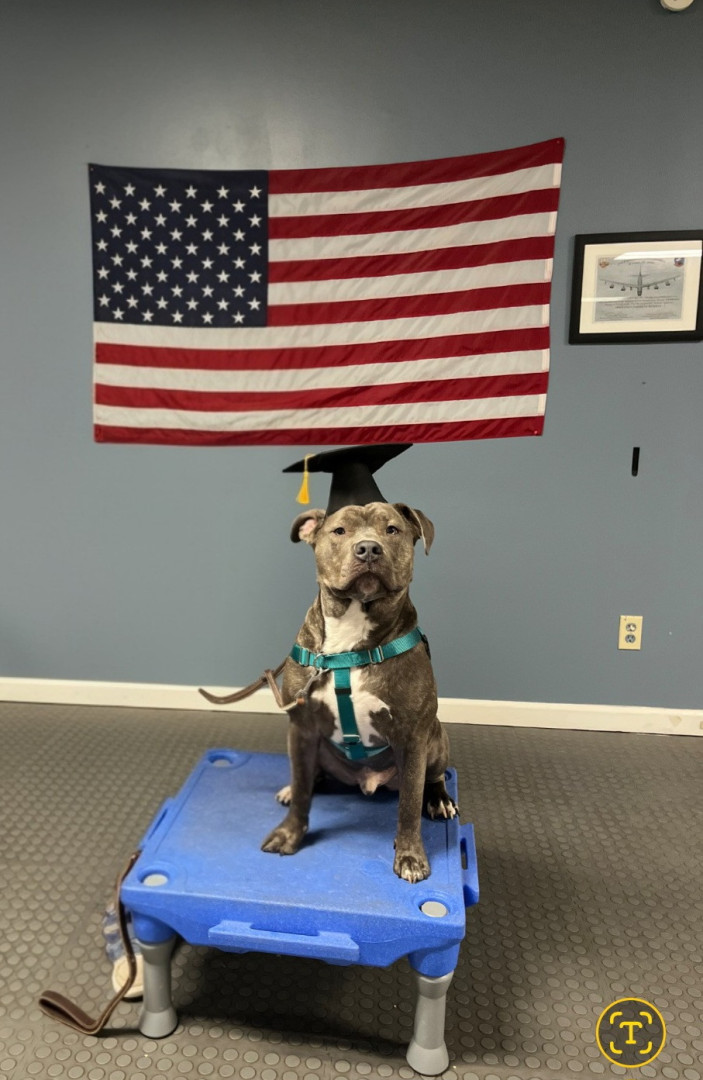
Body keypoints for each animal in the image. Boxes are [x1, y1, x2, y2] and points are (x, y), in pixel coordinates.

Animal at [261, 500, 457, 883]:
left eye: (392, 529)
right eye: (340, 531)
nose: (368, 549)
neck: (350, 638)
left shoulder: (413, 738)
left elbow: (409, 805)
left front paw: (410, 856)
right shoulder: (301, 728)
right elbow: (303, 789)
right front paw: (290, 833)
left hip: (436, 737)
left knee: (434, 776)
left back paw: (439, 798)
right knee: (309, 775)